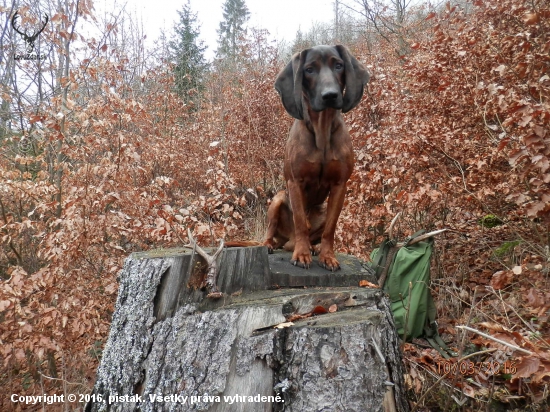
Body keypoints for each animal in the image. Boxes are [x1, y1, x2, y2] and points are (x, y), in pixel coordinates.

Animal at [264, 45, 370, 270]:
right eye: (309, 70)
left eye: (338, 65)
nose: (330, 95)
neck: (322, 130)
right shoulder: (295, 182)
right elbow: (300, 222)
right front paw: (301, 254)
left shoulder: (340, 185)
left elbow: (330, 228)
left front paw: (327, 257)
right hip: (278, 199)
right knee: (273, 231)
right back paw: (272, 245)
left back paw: (312, 248)